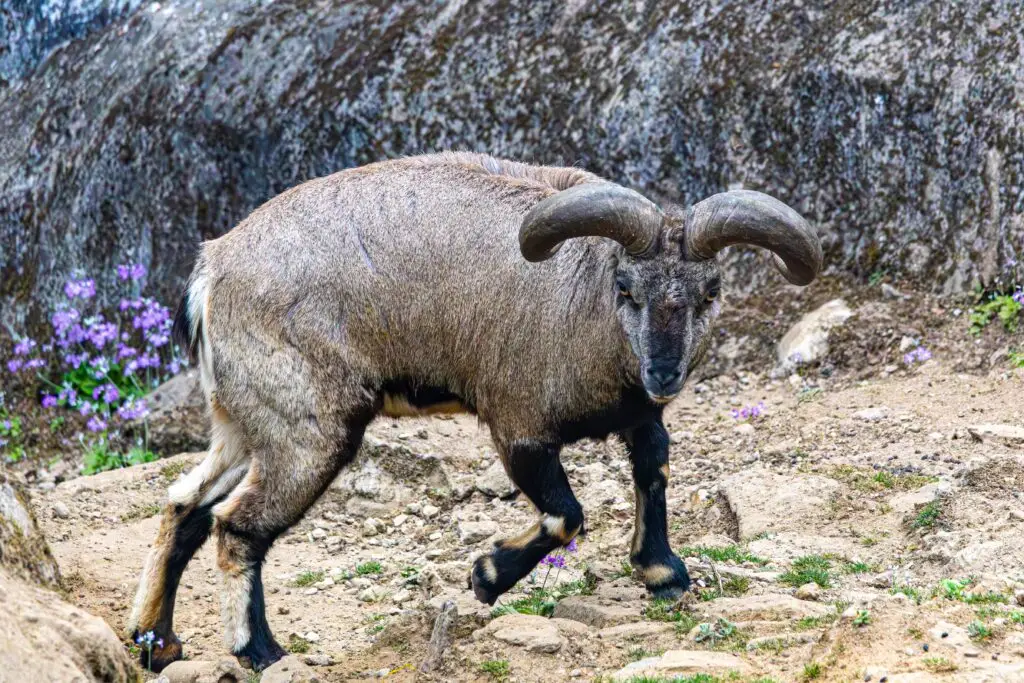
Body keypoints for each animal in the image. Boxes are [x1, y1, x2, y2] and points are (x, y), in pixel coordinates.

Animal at [127, 152, 821, 671]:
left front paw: (663, 571)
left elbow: (653, 467)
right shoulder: (519, 426)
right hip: (310, 428)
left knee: (185, 504)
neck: (582, 306)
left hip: (244, 422)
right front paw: (487, 576)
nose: (663, 372)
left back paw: (156, 642)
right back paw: (261, 651)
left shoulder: (638, 417)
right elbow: (566, 516)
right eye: (625, 288)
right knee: (237, 526)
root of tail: (211, 272)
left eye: (710, 291)